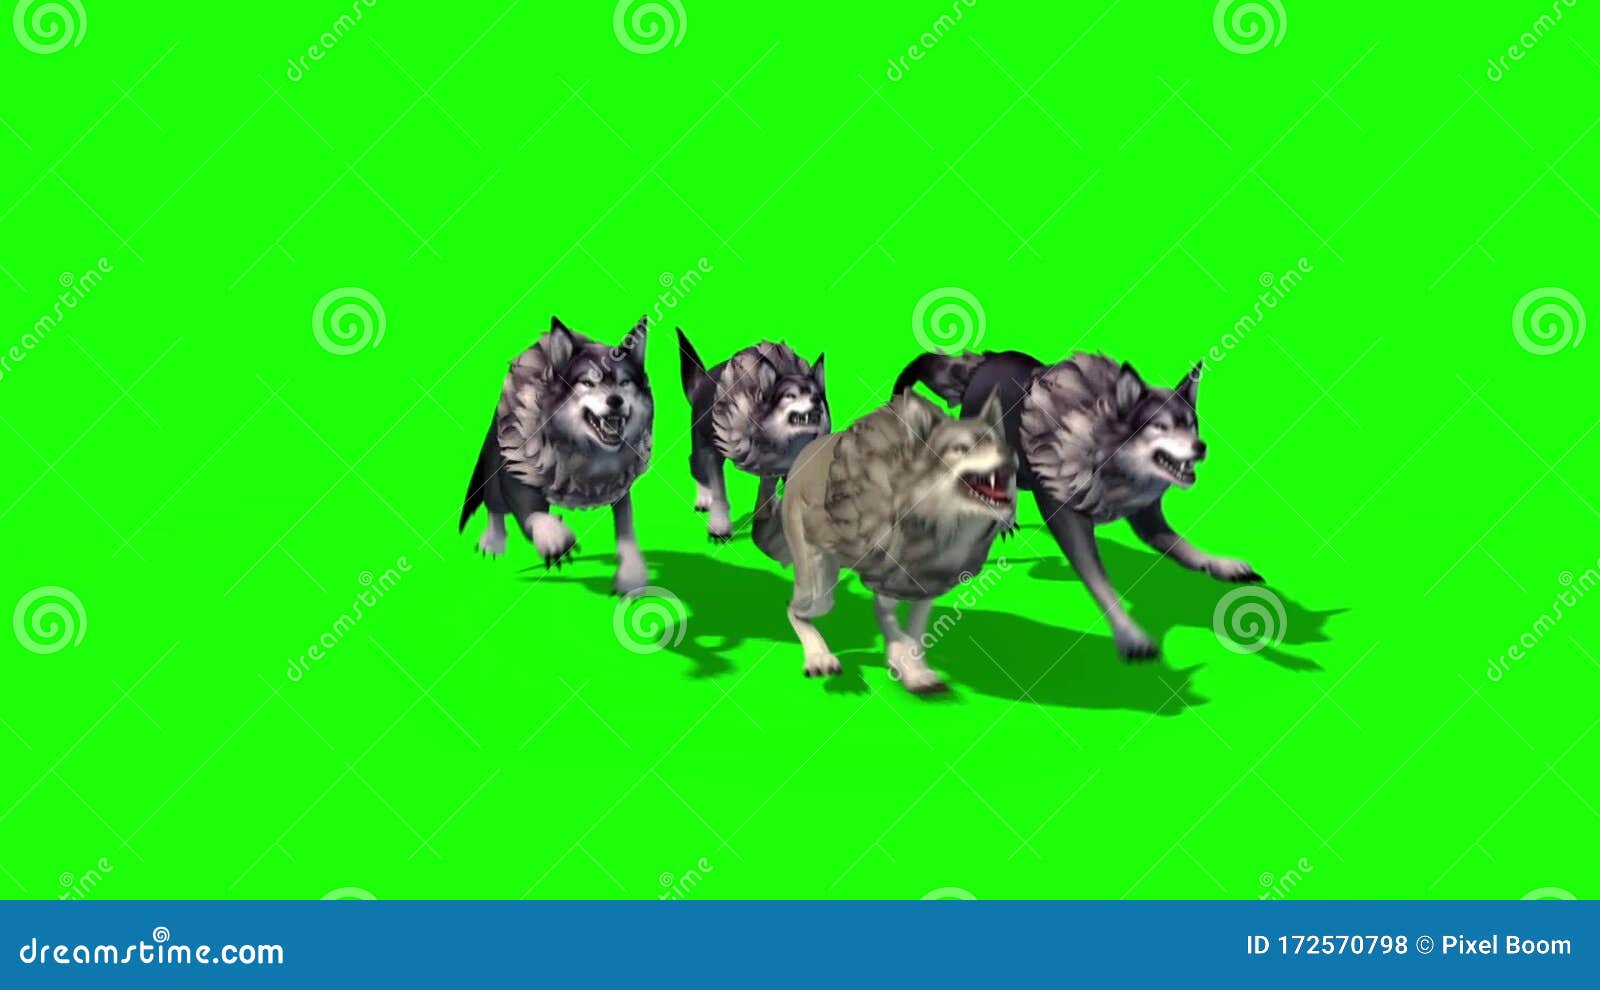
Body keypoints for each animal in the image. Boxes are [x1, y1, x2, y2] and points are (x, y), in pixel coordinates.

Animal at [459, 316, 654, 595]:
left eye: (624, 382)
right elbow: (535, 515)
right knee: (494, 503)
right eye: (588, 383)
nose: (615, 400)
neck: (587, 455)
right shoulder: (520, 471)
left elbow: (626, 528)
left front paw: (632, 574)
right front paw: (555, 538)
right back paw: (493, 541)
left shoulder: (618, 486)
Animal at [675, 331, 828, 548]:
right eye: (791, 395)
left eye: (817, 394)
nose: (816, 400)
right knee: (696, 465)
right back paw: (704, 498)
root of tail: (703, 380)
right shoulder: (713, 453)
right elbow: (719, 492)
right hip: (700, 443)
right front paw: (719, 528)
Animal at [780, 391, 1015, 694]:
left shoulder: (923, 585)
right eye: (962, 448)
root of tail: (808, 450)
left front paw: (910, 664)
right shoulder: (884, 577)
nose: (1011, 457)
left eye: (999, 443)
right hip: (819, 586)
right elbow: (888, 620)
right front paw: (908, 668)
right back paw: (819, 657)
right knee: (794, 609)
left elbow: (913, 632)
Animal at [894, 350, 1262, 659]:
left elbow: (1183, 547)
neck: (1108, 457)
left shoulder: (1146, 516)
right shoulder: (1068, 520)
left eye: (1192, 425)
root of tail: (983, 361)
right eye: (1161, 427)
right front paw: (1129, 634)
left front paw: (1219, 563)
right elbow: (1099, 581)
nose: (1201, 447)